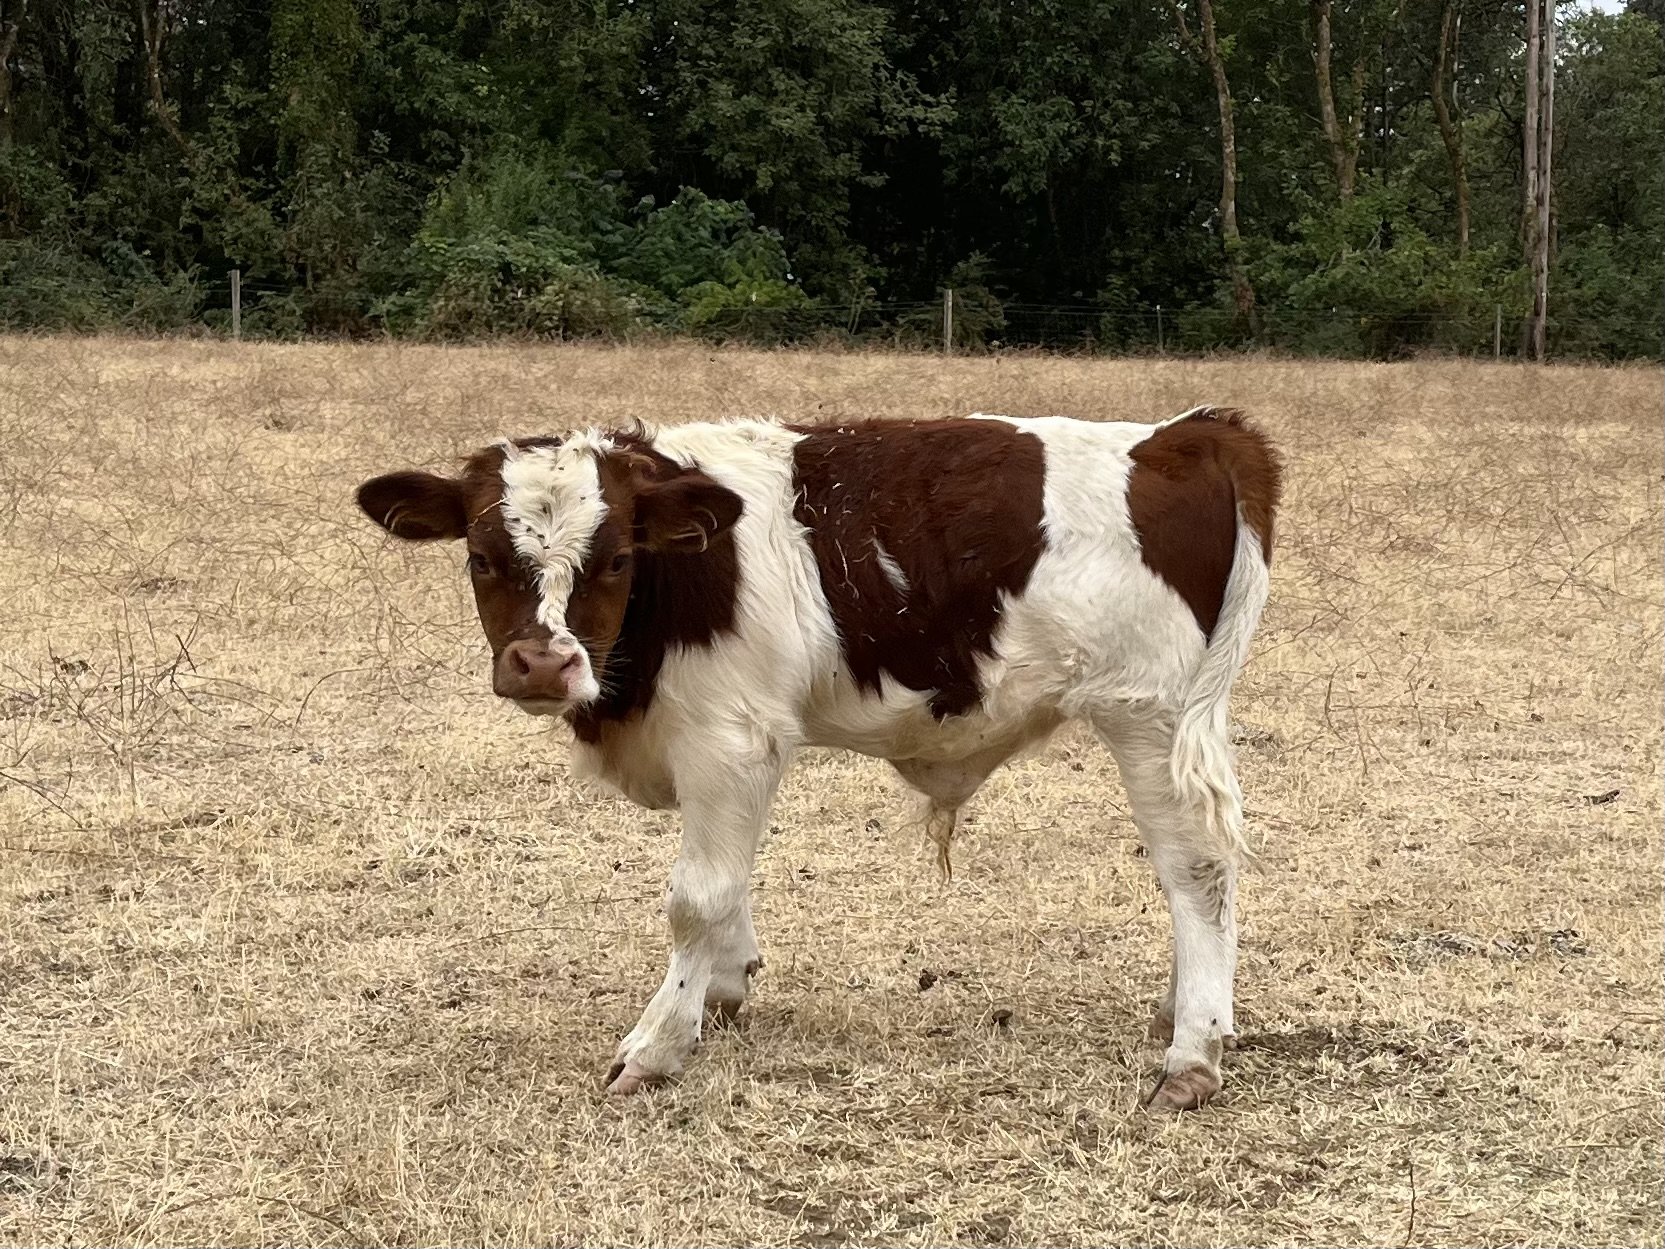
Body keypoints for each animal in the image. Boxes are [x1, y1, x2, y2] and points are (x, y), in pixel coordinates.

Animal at [356, 406, 1281, 1109]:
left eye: (616, 557)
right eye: (481, 558)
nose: (543, 663)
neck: (685, 577)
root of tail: (1184, 434)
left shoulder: (732, 740)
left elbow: (696, 896)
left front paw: (659, 1041)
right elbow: (727, 884)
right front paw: (724, 983)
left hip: (1148, 717)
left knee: (1197, 867)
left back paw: (1192, 1050)